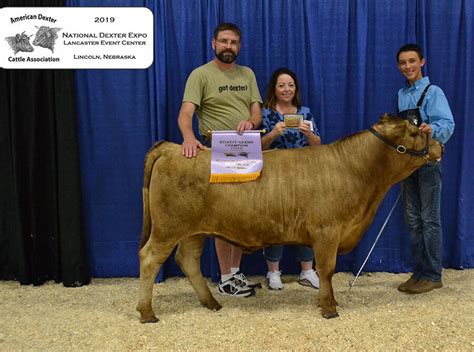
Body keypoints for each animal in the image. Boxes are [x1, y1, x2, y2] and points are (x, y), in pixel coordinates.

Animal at [136, 115, 444, 322]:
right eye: (414, 133)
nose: (439, 144)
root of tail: (173, 148)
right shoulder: (327, 231)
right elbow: (327, 269)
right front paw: (329, 308)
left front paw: (328, 303)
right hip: (168, 229)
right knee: (149, 258)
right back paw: (147, 312)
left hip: (193, 232)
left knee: (188, 260)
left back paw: (210, 302)